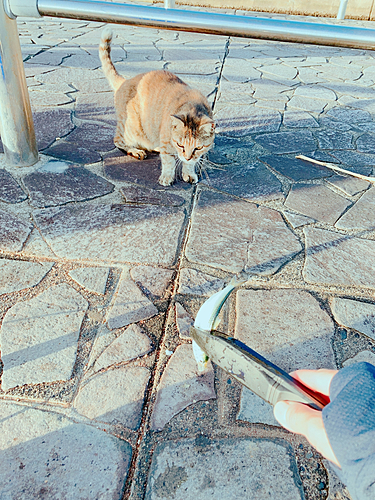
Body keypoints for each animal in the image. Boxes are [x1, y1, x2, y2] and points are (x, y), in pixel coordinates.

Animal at [99, 26, 217, 186]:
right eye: (181, 145)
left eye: (198, 147)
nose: (186, 156)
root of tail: (125, 81)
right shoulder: (167, 142)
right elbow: (168, 161)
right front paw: (167, 177)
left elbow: (190, 163)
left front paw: (188, 172)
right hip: (131, 129)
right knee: (118, 140)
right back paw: (136, 151)